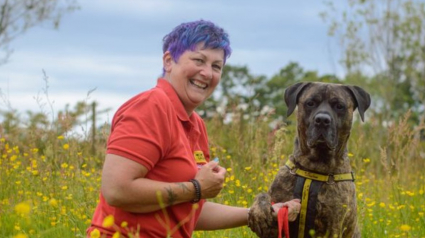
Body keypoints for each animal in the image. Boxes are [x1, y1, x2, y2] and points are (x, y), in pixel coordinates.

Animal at [247, 82, 370, 238]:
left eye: (339, 106)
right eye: (310, 103)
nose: (322, 120)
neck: (314, 168)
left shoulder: (333, 225)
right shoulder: (274, 226)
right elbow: (262, 196)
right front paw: (259, 212)